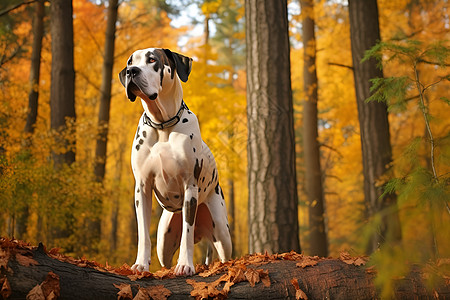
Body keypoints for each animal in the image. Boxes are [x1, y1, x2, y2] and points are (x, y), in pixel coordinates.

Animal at [118, 48, 232, 276]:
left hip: (223, 233)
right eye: (130, 63)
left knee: (224, 256)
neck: (162, 124)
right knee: (165, 259)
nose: (132, 72)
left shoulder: (190, 187)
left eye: (152, 59)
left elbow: (186, 233)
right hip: (164, 240)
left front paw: (186, 265)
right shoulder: (142, 188)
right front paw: (140, 264)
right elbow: (143, 233)